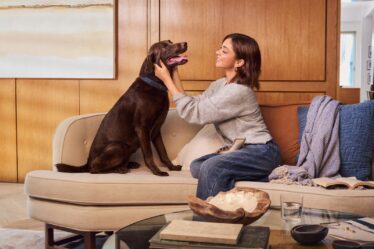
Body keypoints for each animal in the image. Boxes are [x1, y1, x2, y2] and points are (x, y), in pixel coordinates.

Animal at [56, 40, 188, 176]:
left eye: (170, 42)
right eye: (164, 46)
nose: (185, 43)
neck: (154, 84)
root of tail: (87, 163)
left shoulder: (156, 130)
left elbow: (163, 153)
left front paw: (172, 167)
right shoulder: (142, 128)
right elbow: (149, 154)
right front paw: (157, 172)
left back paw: (129, 164)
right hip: (118, 146)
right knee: (94, 169)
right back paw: (119, 169)